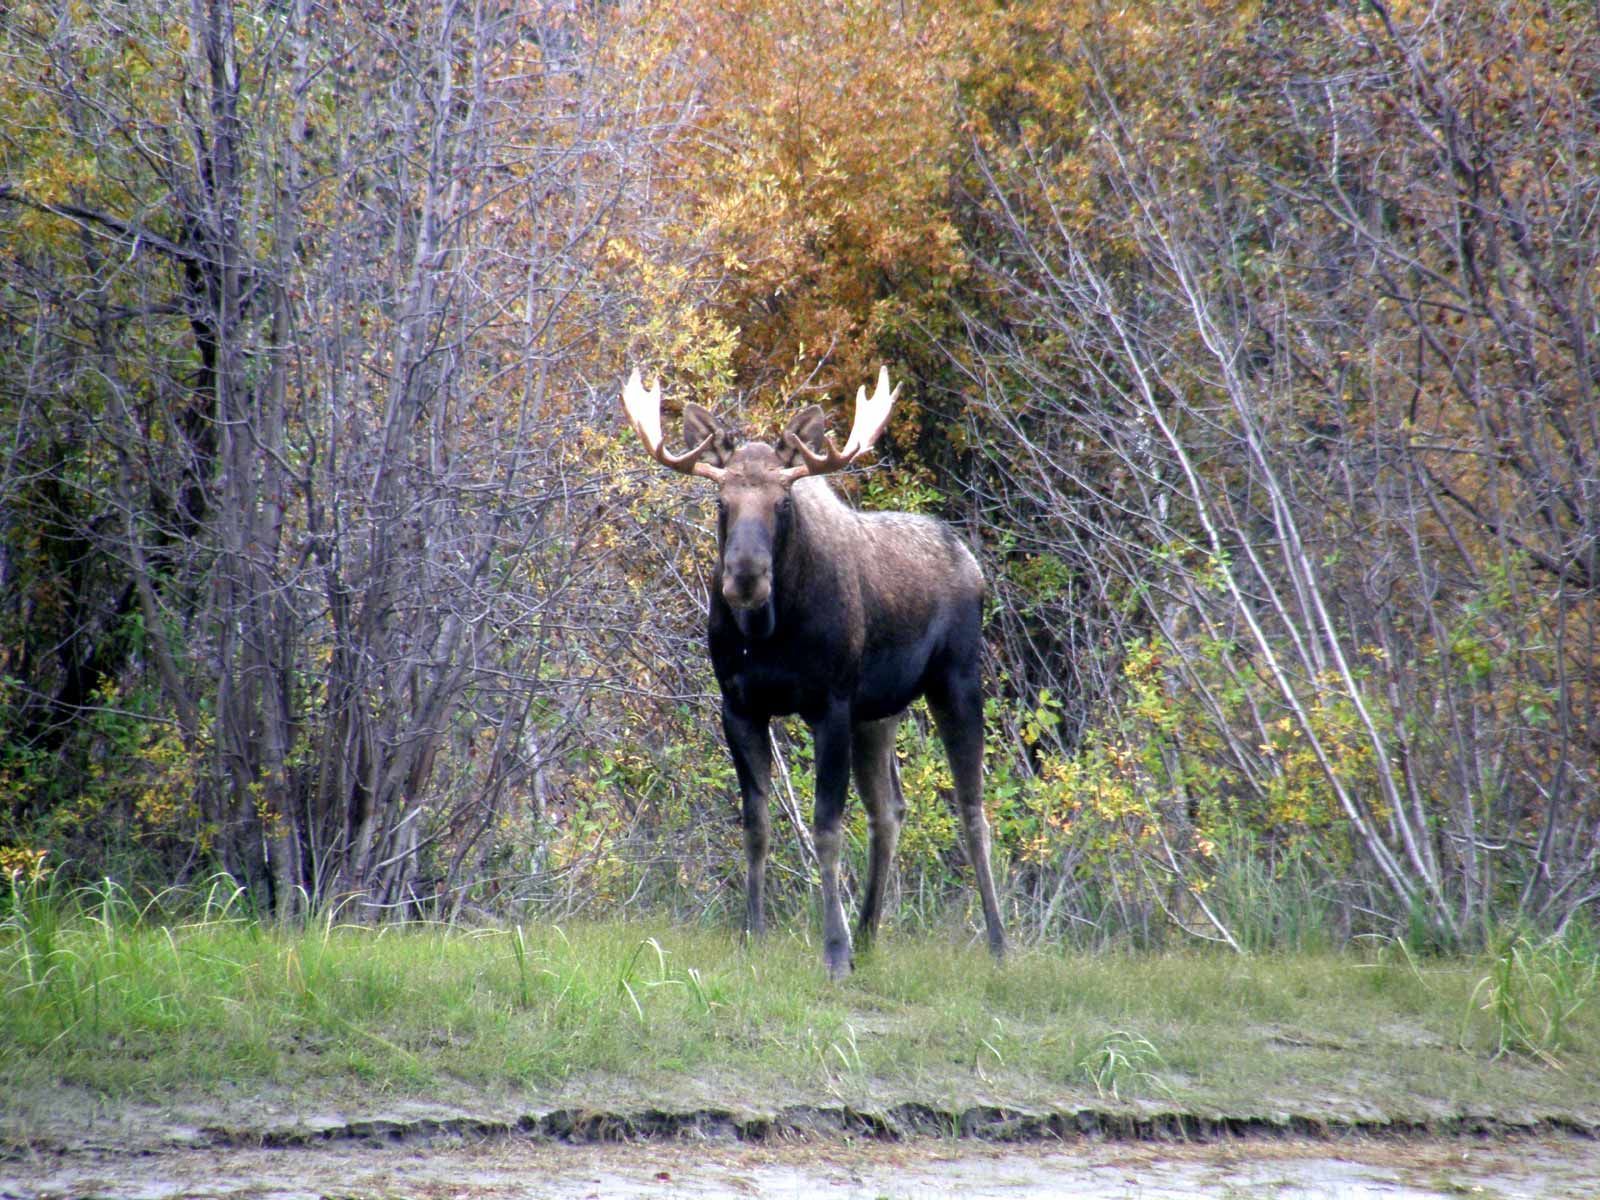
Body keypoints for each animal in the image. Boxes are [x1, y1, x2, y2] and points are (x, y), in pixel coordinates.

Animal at [622, 366, 1007, 979]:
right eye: (721, 500)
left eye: (783, 501)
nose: (745, 577)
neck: (768, 636)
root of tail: (972, 563)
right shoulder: (739, 706)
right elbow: (756, 824)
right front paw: (752, 934)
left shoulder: (830, 705)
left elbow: (826, 829)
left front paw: (834, 951)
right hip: (879, 712)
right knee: (889, 810)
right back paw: (870, 932)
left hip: (957, 680)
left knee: (972, 809)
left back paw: (996, 942)